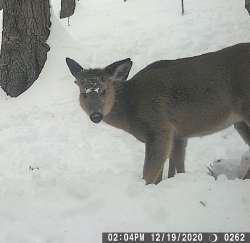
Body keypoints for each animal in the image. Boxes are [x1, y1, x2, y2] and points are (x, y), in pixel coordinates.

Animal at [66, 42, 250, 185]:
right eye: (83, 92)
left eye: (104, 90)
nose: (96, 115)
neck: (131, 108)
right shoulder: (179, 134)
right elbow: (173, 170)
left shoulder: (160, 126)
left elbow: (149, 174)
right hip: (239, 122)